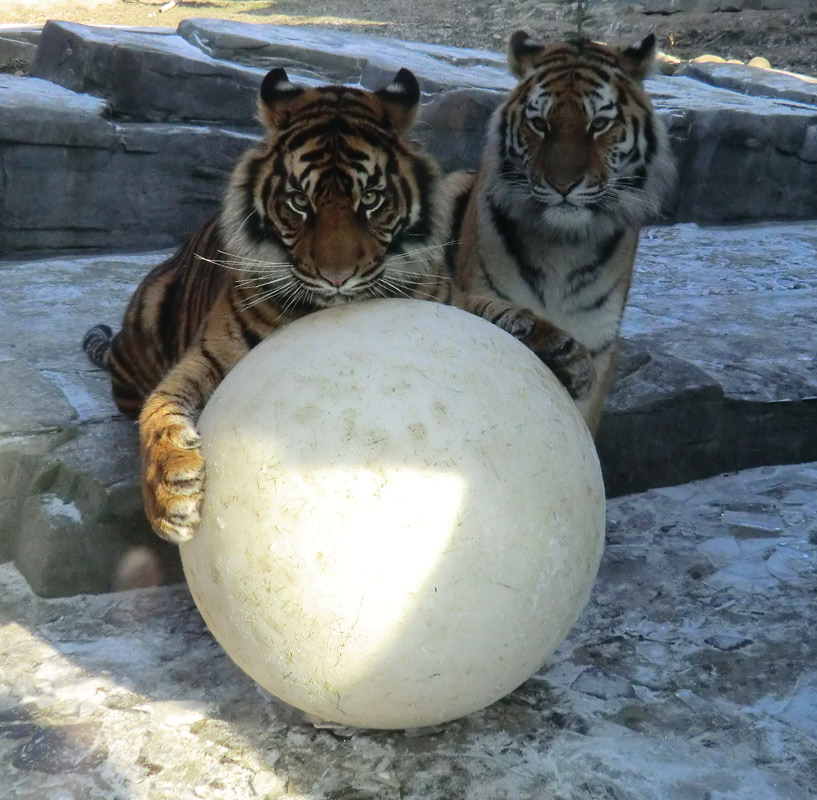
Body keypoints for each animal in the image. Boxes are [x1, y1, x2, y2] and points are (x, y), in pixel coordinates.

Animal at [84, 67, 588, 544]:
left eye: (372, 199)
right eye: (298, 202)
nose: (337, 277)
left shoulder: (445, 297)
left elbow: (493, 308)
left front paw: (564, 354)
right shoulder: (208, 357)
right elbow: (159, 409)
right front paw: (170, 494)